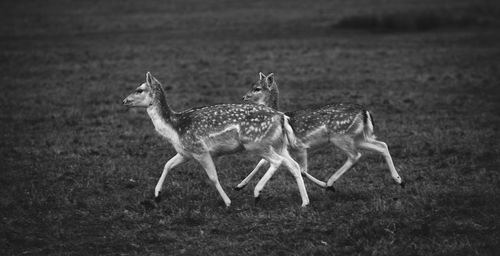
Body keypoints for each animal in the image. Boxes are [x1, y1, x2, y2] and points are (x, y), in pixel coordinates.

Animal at [121, 72, 308, 208]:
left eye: (139, 89)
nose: (124, 101)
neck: (174, 128)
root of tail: (282, 116)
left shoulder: (200, 149)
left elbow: (213, 177)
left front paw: (227, 202)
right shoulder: (185, 152)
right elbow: (167, 165)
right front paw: (157, 195)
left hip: (256, 143)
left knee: (277, 162)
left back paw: (256, 193)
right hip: (277, 144)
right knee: (293, 165)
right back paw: (304, 202)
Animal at [236, 72, 404, 192]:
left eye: (257, 88)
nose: (243, 97)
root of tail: (366, 112)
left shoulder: (300, 146)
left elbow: (302, 170)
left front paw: (324, 185)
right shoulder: (281, 147)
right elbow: (261, 162)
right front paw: (239, 185)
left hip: (340, 136)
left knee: (355, 155)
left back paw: (330, 182)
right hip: (358, 137)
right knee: (382, 145)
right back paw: (398, 179)